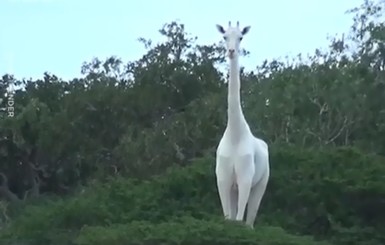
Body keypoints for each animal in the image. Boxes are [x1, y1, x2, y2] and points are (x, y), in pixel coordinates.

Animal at [214, 20, 268, 228]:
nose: (231, 51)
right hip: (235, 187)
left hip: (260, 184)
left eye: (241, 37)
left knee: (250, 221)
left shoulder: (245, 179)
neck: (235, 135)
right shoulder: (223, 179)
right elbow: (228, 218)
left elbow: (239, 220)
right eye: (224, 36)